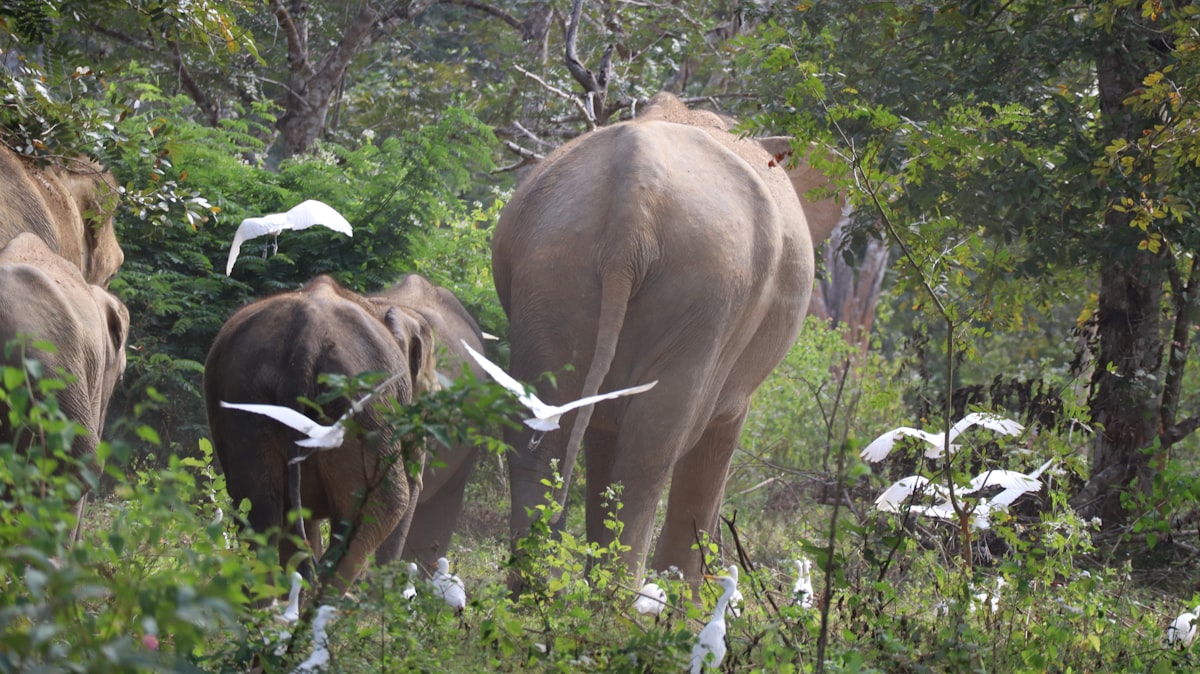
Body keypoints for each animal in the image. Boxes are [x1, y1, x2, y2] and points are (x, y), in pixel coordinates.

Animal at [491, 92, 845, 584]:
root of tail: (632, 205)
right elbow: (718, 435)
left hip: (551, 266)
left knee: (544, 426)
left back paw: (539, 591)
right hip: (706, 289)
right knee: (654, 446)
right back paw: (622, 597)